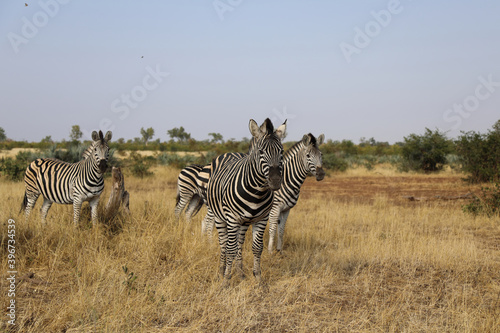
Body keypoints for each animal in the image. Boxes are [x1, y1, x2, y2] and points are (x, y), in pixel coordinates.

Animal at [206, 118, 286, 284]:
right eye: (261, 152)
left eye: (281, 151)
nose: (275, 181)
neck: (257, 193)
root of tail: (230, 153)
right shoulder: (232, 218)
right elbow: (230, 249)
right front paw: (226, 281)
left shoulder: (262, 219)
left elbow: (257, 248)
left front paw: (259, 279)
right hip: (219, 217)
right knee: (224, 243)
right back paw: (222, 271)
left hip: (243, 223)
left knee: (239, 244)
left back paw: (240, 272)